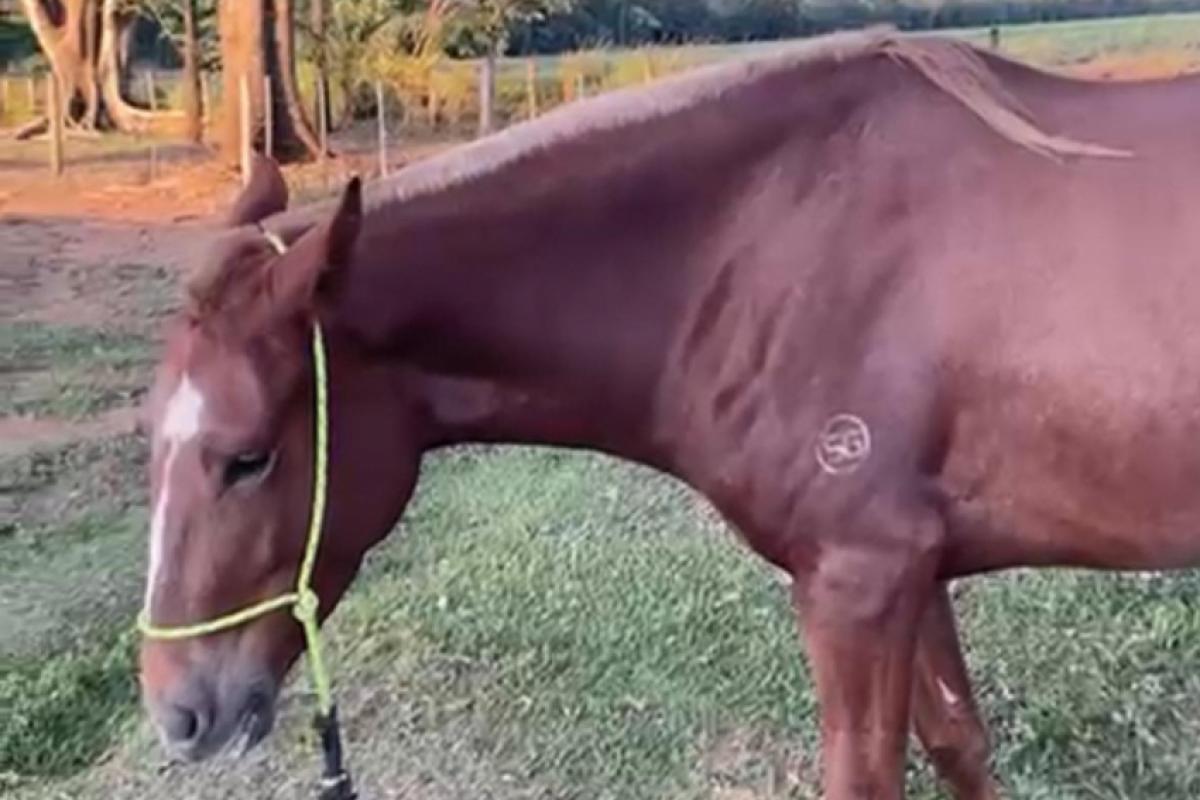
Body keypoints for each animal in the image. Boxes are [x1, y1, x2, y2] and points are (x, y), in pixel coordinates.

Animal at [136, 26, 1200, 799]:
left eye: (247, 456)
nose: (177, 711)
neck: (765, 242)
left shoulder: (858, 584)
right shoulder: (912, 571)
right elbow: (959, 744)